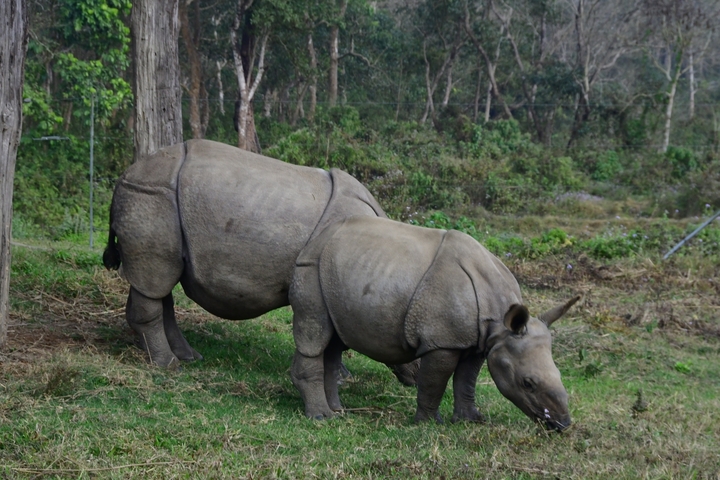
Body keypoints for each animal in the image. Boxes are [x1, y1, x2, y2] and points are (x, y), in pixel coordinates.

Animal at [103, 139, 418, 384]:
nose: (414, 379)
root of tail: (126, 174)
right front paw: (341, 378)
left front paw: (342, 376)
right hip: (152, 196)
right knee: (155, 279)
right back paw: (169, 364)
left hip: (155, 198)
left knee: (158, 281)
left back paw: (188, 356)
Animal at [289, 216, 580, 430]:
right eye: (527, 383)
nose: (562, 425)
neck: (500, 322)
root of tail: (317, 237)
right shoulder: (443, 341)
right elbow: (434, 381)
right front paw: (429, 423)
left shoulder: (479, 340)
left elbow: (466, 380)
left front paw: (470, 420)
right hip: (311, 266)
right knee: (314, 335)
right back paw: (321, 418)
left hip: (336, 271)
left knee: (334, 341)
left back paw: (339, 411)